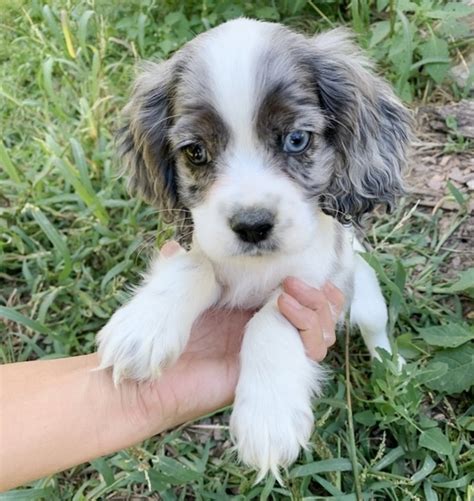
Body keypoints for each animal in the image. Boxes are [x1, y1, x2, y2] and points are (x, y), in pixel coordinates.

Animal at [97, 17, 412, 480]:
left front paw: (268, 417)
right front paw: (143, 327)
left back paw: (392, 371)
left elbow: (269, 320)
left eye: (297, 140)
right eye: (195, 152)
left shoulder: (314, 282)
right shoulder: (199, 240)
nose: (252, 225)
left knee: (376, 331)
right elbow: (195, 266)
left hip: (366, 296)